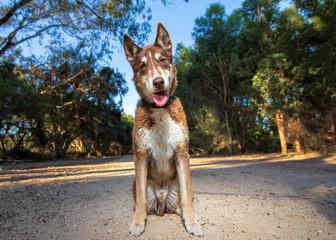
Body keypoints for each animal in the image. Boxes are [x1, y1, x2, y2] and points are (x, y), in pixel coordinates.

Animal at [122, 23, 202, 237]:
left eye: (163, 60)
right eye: (142, 66)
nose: (158, 82)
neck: (159, 110)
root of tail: (162, 199)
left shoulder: (182, 154)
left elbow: (186, 199)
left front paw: (192, 223)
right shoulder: (140, 156)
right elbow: (141, 200)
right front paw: (137, 223)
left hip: (187, 183)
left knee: (183, 200)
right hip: (135, 182)